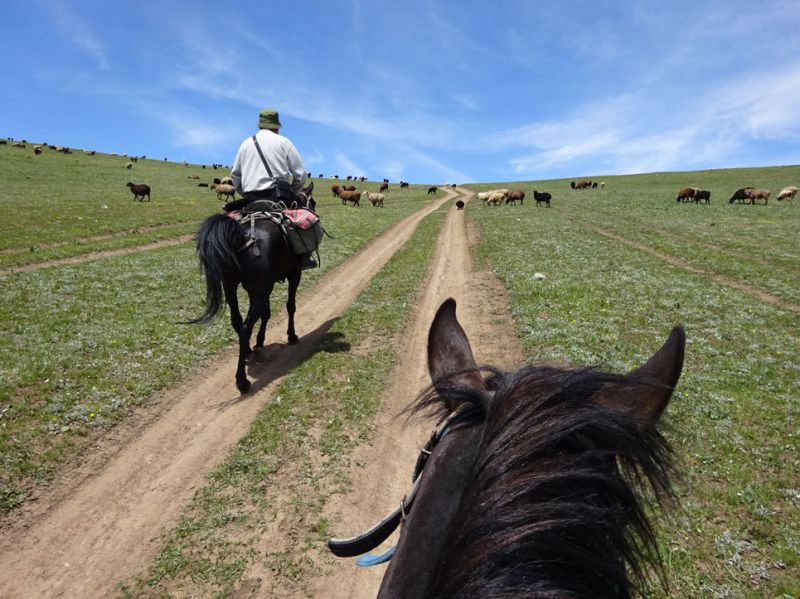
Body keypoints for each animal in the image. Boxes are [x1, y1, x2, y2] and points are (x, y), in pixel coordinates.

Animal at [188, 212, 304, 394]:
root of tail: (242, 238)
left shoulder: (261, 290)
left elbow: (266, 313)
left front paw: (259, 344)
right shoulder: (294, 274)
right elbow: (290, 306)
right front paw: (291, 336)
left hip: (231, 287)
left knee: (237, 321)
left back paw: (248, 351)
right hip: (259, 291)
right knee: (245, 328)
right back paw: (242, 381)